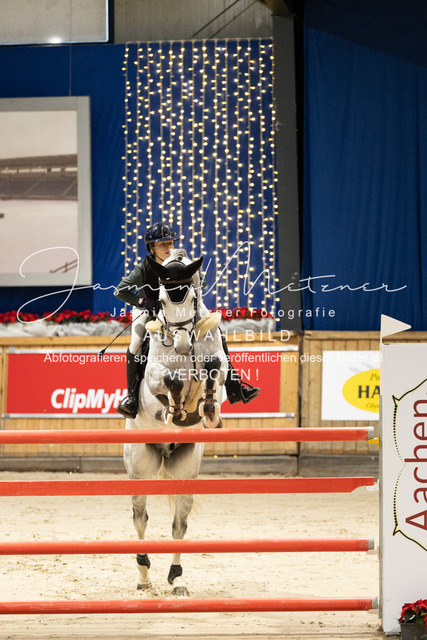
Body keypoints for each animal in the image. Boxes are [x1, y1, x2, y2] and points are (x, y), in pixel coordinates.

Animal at [123, 249, 228, 596]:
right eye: (162, 299)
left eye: (192, 297)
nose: (181, 345)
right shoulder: (154, 377)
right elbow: (170, 380)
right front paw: (175, 410)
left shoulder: (218, 367)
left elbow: (212, 366)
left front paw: (207, 410)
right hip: (139, 467)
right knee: (140, 519)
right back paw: (144, 578)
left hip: (186, 467)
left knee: (179, 524)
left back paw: (177, 578)